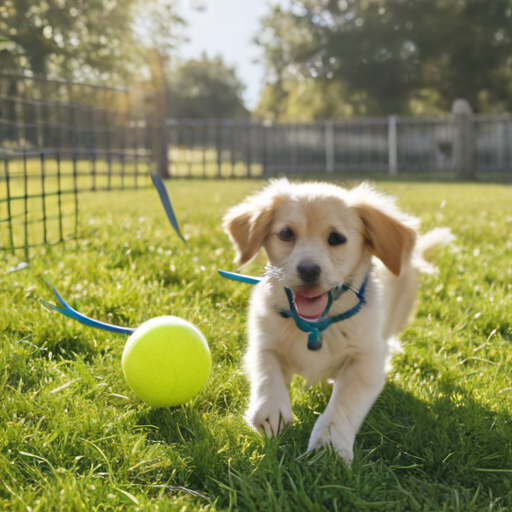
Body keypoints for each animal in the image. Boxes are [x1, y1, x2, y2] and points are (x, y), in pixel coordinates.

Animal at [223, 180, 452, 464]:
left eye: (336, 238)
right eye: (286, 234)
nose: (309, 270)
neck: (315, 324)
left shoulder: (367, 361)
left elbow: (344, 401)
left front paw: (329, 444)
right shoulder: (263, 341)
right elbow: (267, 371)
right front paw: (270, 410)